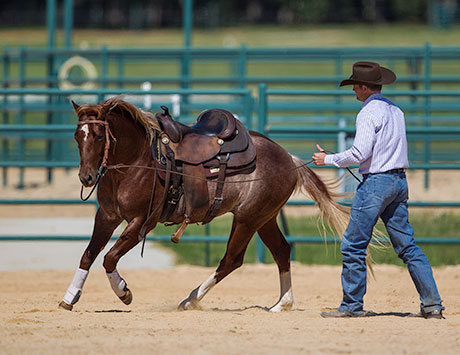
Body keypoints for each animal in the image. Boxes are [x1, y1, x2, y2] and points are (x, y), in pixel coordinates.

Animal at [61, 97, 348, 312]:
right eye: (76, 136)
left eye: (99, 136)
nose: (86, 177)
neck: (138, 160)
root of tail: (288, 157)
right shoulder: (107, 216)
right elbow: (89, 254)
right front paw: (70, 297)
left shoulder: (142, 222)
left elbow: (109, 257)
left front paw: (123, 292)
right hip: (264, 218)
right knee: (281, 251)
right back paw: (282, 304)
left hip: (247, 219)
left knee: (232, 260)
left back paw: (191, 299)